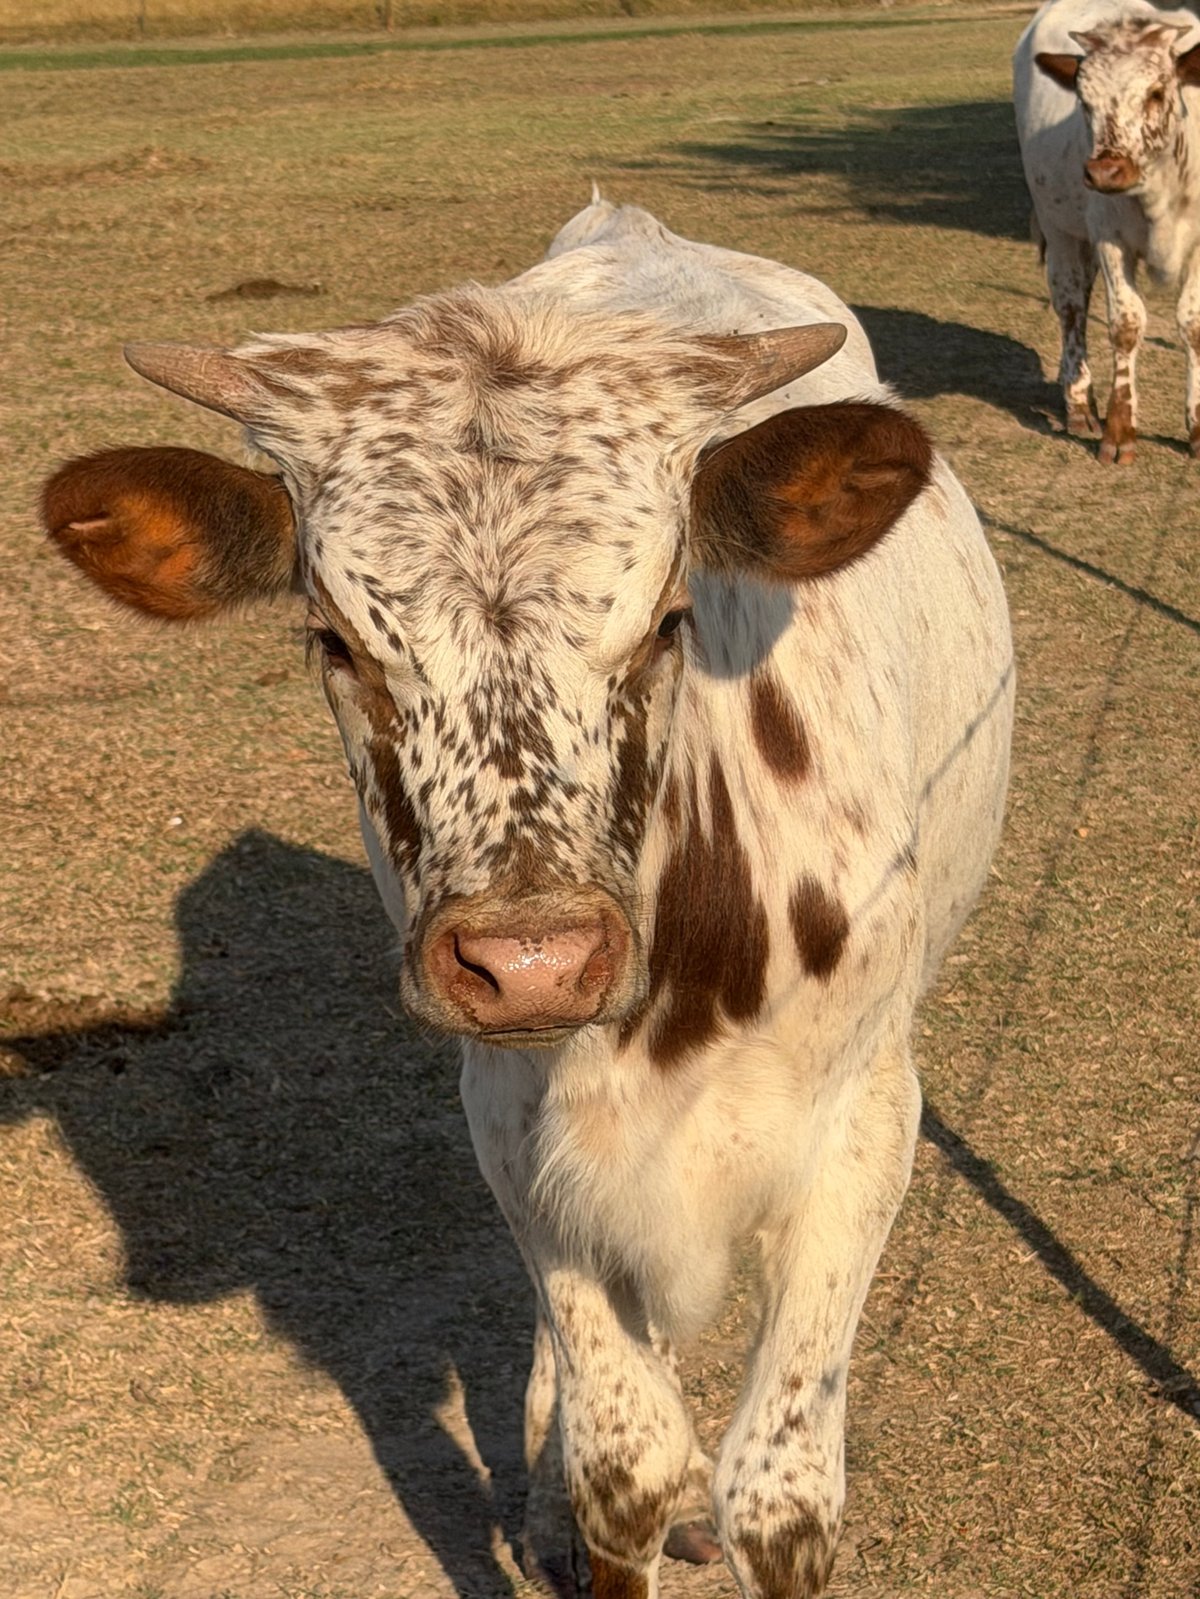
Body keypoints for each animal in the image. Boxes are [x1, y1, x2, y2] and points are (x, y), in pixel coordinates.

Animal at [40, 199, 1014, 1599]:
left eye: (668, 618)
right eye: (336, 640)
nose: (535, 960)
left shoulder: (867, 1123)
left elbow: (781, 1491)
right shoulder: (513, 1129)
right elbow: (624, 1466)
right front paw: (586, 1495)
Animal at [1014, 0, 1200, 462]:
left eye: (1156, 93)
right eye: (1083, 101)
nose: (1105, 172)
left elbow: (1192, 324)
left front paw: (1197, 427)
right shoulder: (1109, 237)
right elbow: (1125, 324)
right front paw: (1119, 431)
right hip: (1059, 226)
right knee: (1071, 305)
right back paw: (1080, 402)